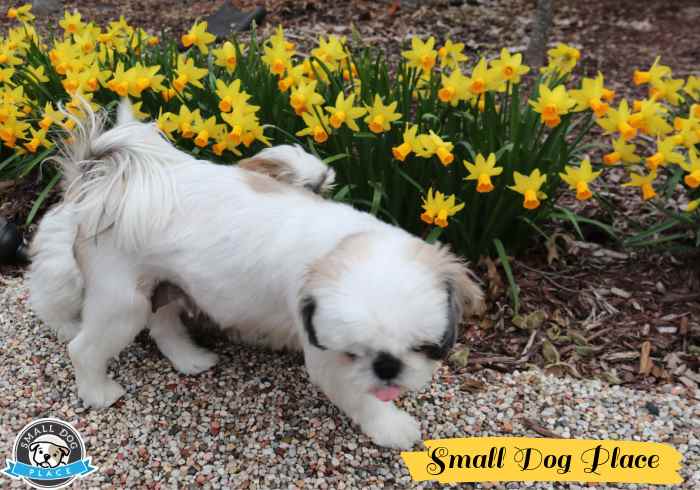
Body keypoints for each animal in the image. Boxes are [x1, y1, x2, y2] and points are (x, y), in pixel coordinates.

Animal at [30, 99, 484, 448]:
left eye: (426, 347)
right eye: (352, 352)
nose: (388, 368)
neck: (338, 245)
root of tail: (101, 187)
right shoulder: (327, 358)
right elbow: (360, 398)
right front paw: (392, 427)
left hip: (162, 285)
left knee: (164, 326)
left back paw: (190, 359)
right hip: (122, 305)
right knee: (84, 348)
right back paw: (97, 392)